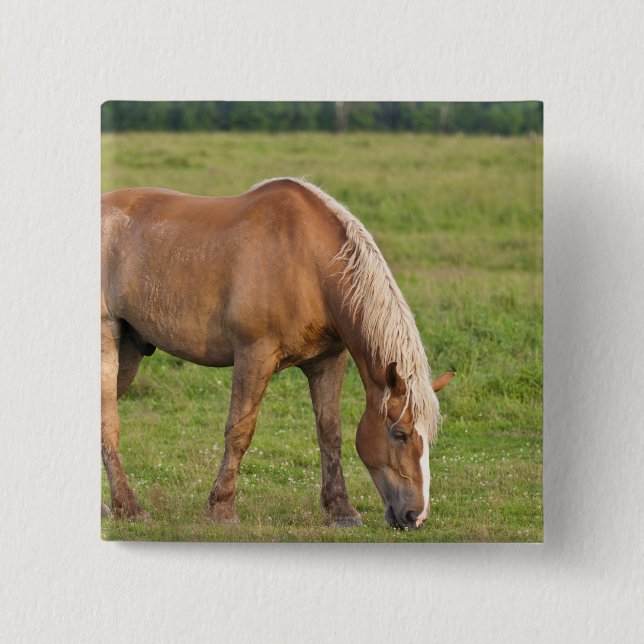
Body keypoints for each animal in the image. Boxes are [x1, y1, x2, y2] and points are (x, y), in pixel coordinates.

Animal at [101, 178, 453, 529]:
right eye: (400, 434)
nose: (416, 516)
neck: (308, 264)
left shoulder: (328, 362)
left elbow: (331, 433)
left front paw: (341, 509)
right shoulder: (254, 356)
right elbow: (239, 431)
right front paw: (222, 507)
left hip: (130, 350)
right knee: (108, 422)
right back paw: (128, 507)